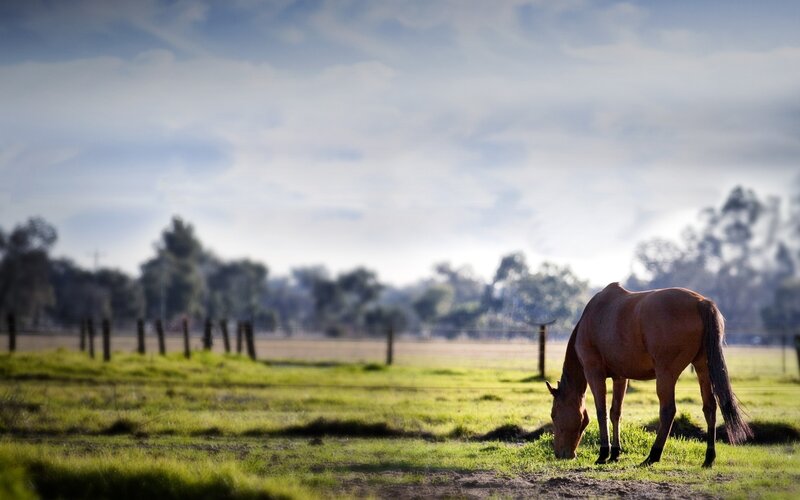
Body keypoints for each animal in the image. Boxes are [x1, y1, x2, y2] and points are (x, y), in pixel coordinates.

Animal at [546, 282, 751, 467]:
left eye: (554, 415)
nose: (560, 454)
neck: (592, 317)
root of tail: (701, 302)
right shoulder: (620, 377)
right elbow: (615, 412)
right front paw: (615, 453)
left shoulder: (594, 372)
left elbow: (601, 411)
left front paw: (604, 453)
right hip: (702, 368)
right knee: (709, 407)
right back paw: (708, 458)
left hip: (666, 374)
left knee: (668, 410)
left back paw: (653, 455)